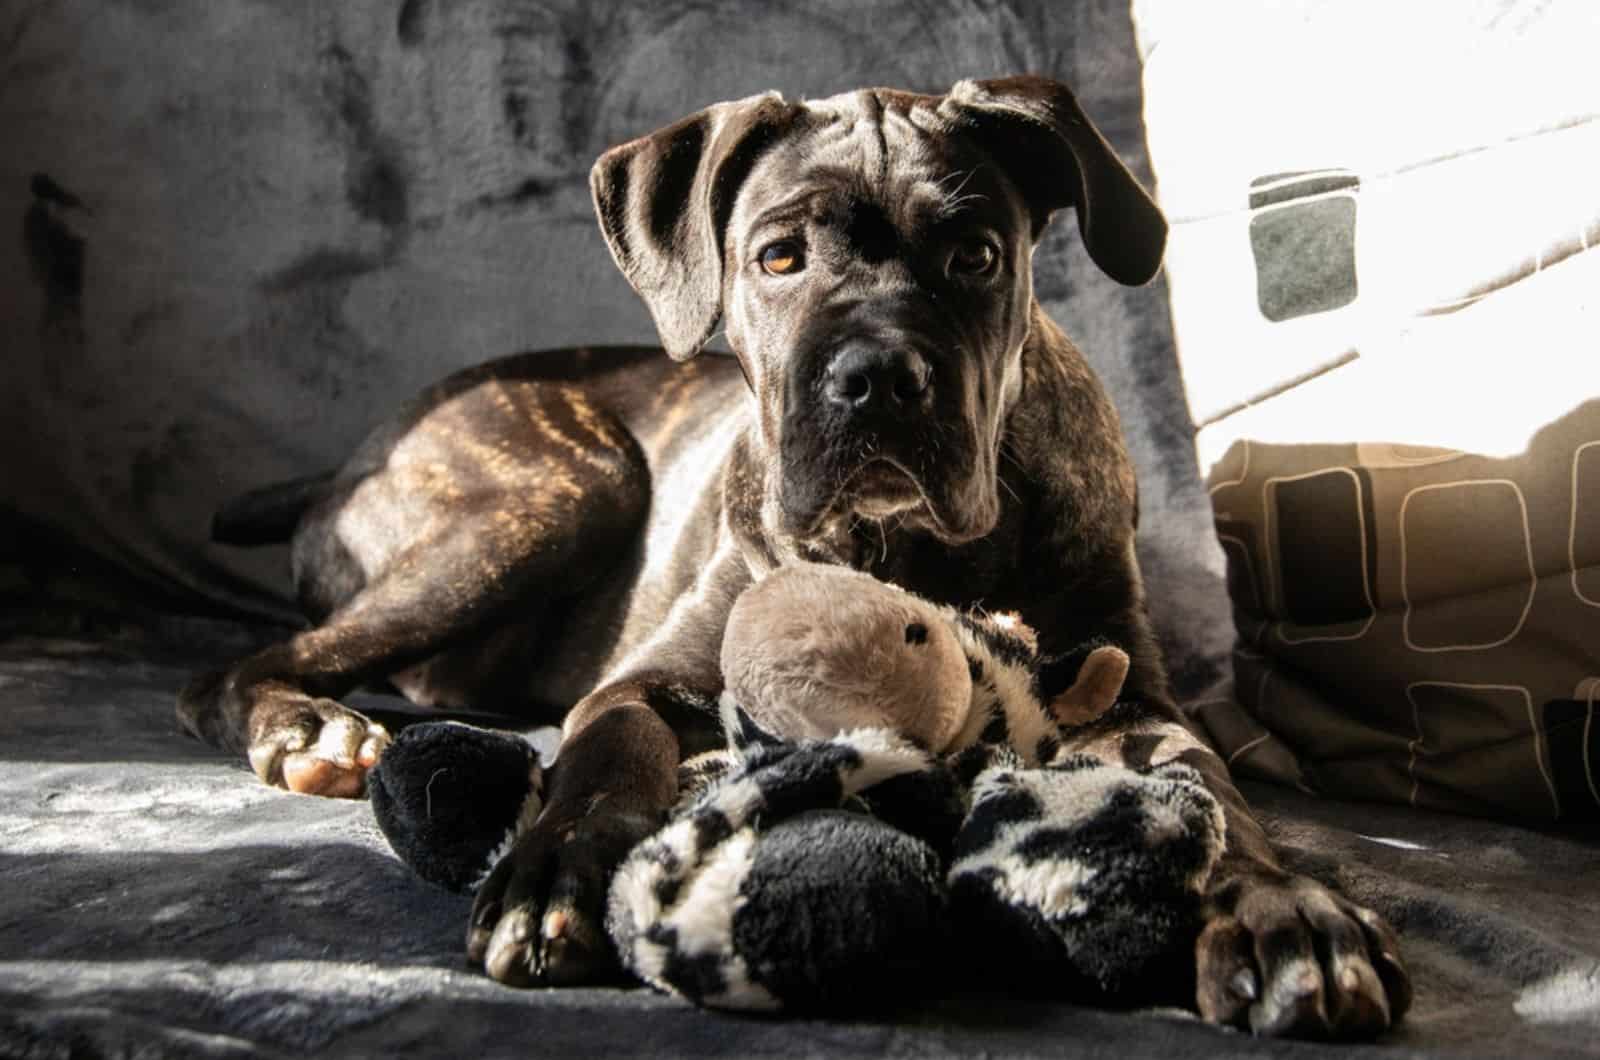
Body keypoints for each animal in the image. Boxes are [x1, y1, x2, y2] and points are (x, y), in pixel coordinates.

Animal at [178, 78, 1414, 1043]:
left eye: (976, 256)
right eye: (778, 257)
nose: (877, 377)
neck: (899, 548)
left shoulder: (1134, 694)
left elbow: (1212, 794)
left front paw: (1285, 914)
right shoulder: (644, 683)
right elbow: (605, 756)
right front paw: (552, 872)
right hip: (563, 489)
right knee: (234, 668)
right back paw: (309, 729)